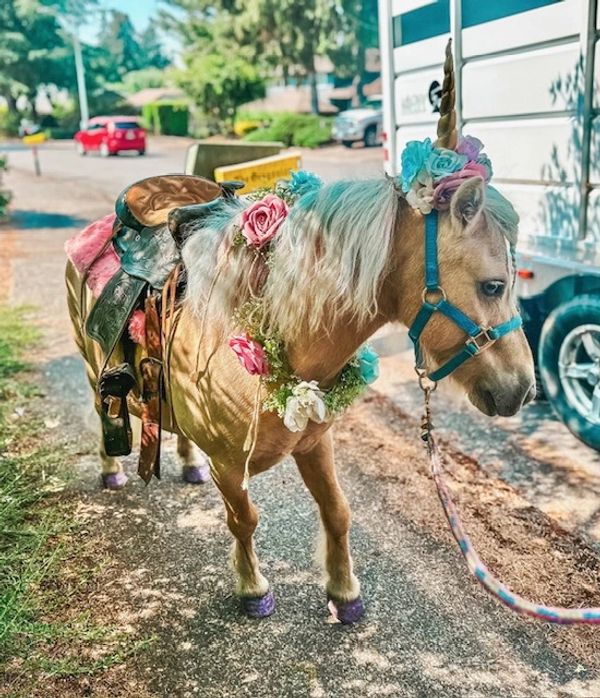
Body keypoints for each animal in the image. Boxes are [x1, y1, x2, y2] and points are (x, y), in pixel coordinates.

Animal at [65, 50, 535, 623]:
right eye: (493, 284)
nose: (522, 389)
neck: (275, 339)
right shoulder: (232, 469)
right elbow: (244, 521)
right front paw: (253, 589)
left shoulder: (315, 443)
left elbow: (338, 512)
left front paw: (344, 593)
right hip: (93, 371)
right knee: (101, 412)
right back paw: (111, 470)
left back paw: (187, 463)